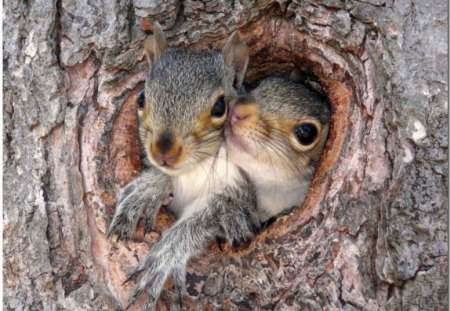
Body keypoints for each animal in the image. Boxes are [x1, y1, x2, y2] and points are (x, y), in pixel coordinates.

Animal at [106, 23, 260, 310]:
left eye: (220, 106)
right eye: (141, 98)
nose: (163, 152)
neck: (194, 168)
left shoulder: (240, 186)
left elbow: (210, 215)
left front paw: (167, 254)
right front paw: (147, 190)